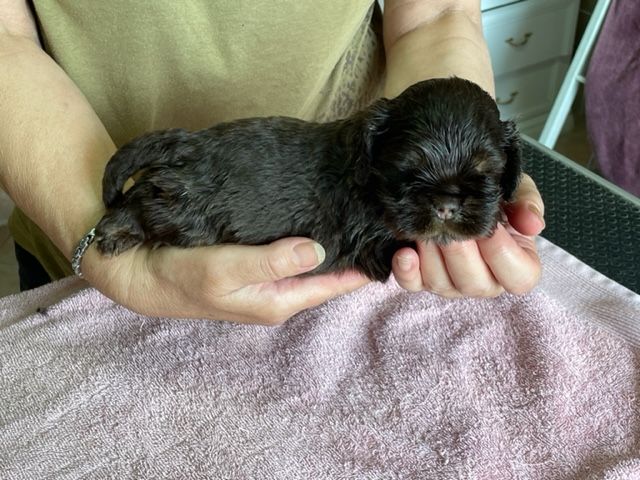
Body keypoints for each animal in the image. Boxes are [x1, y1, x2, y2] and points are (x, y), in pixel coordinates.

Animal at [94, 77, 521, 282]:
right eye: (408, 169)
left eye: (486, 172)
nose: (447, 206)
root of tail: (187, 140)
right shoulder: (374, 242)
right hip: (188, 214)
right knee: (142, 202)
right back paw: (115, 233)